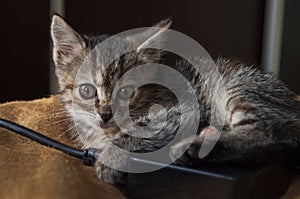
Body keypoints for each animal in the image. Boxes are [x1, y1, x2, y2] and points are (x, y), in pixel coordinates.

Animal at [51, 14, 300, 184]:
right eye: (86, 90)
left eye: (125, 92)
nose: (104, 114)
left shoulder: (183, 111)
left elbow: (138, 133)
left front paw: (110, 158)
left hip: (240, 86)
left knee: (267, 133)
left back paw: (197, 145)